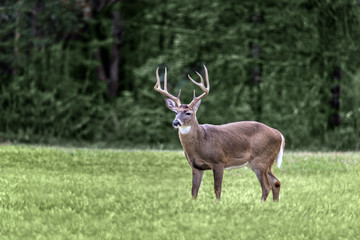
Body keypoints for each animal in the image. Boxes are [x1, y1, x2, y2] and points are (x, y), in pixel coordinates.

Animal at [153, 64, 286, 202]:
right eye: (175, 112)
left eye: (188, 113)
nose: (175, 122)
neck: (201, 142)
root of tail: (278, 133)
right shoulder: (196, 166)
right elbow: (194, 192)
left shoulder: (219, 161)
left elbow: (217, 189)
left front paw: (217, 204)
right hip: (263, 162)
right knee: (276, 183)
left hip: (260, 159)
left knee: (266, 186)